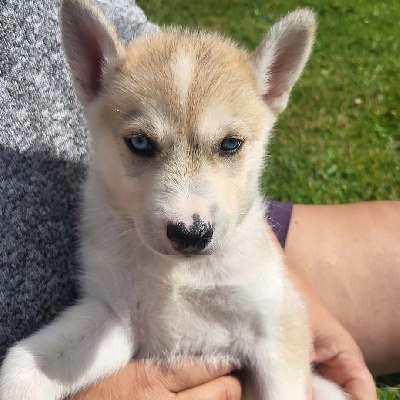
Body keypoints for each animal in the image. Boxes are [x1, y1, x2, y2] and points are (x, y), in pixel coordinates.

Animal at [0, 0, 350, 400]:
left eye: (230, 144)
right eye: (139, 142)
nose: (190, 233)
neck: (181, 276)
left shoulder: (276, 325)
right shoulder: (113, 314)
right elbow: (23, 367)